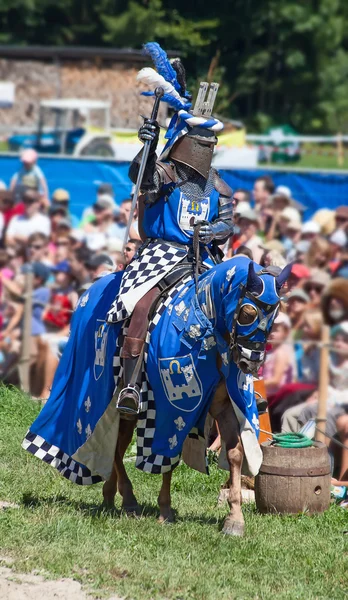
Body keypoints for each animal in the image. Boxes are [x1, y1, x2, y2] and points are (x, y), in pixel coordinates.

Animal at [22, 255, 290, 536]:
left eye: (275, 315)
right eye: (248, 313)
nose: (251, 362)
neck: (205, 323)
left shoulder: (224, 406)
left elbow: (235, 453)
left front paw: (234, 518)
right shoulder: (168, 409)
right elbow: (166, 457)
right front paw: (165, 510)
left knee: (117, 445)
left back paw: (110, 496)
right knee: (116, 448)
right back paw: (128, 500)